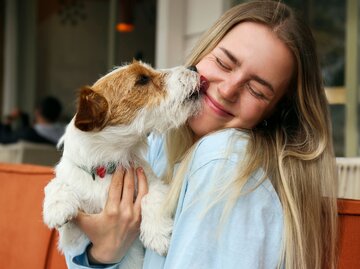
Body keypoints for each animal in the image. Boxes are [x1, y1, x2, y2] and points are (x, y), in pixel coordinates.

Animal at [42, 60, 202, 266]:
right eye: (142, 79)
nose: (193, 68)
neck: (108, 166)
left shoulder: (153, 183)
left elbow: (151, 197)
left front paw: (158, 235)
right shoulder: (73, 237)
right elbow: (56, 184)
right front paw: (56, 207)